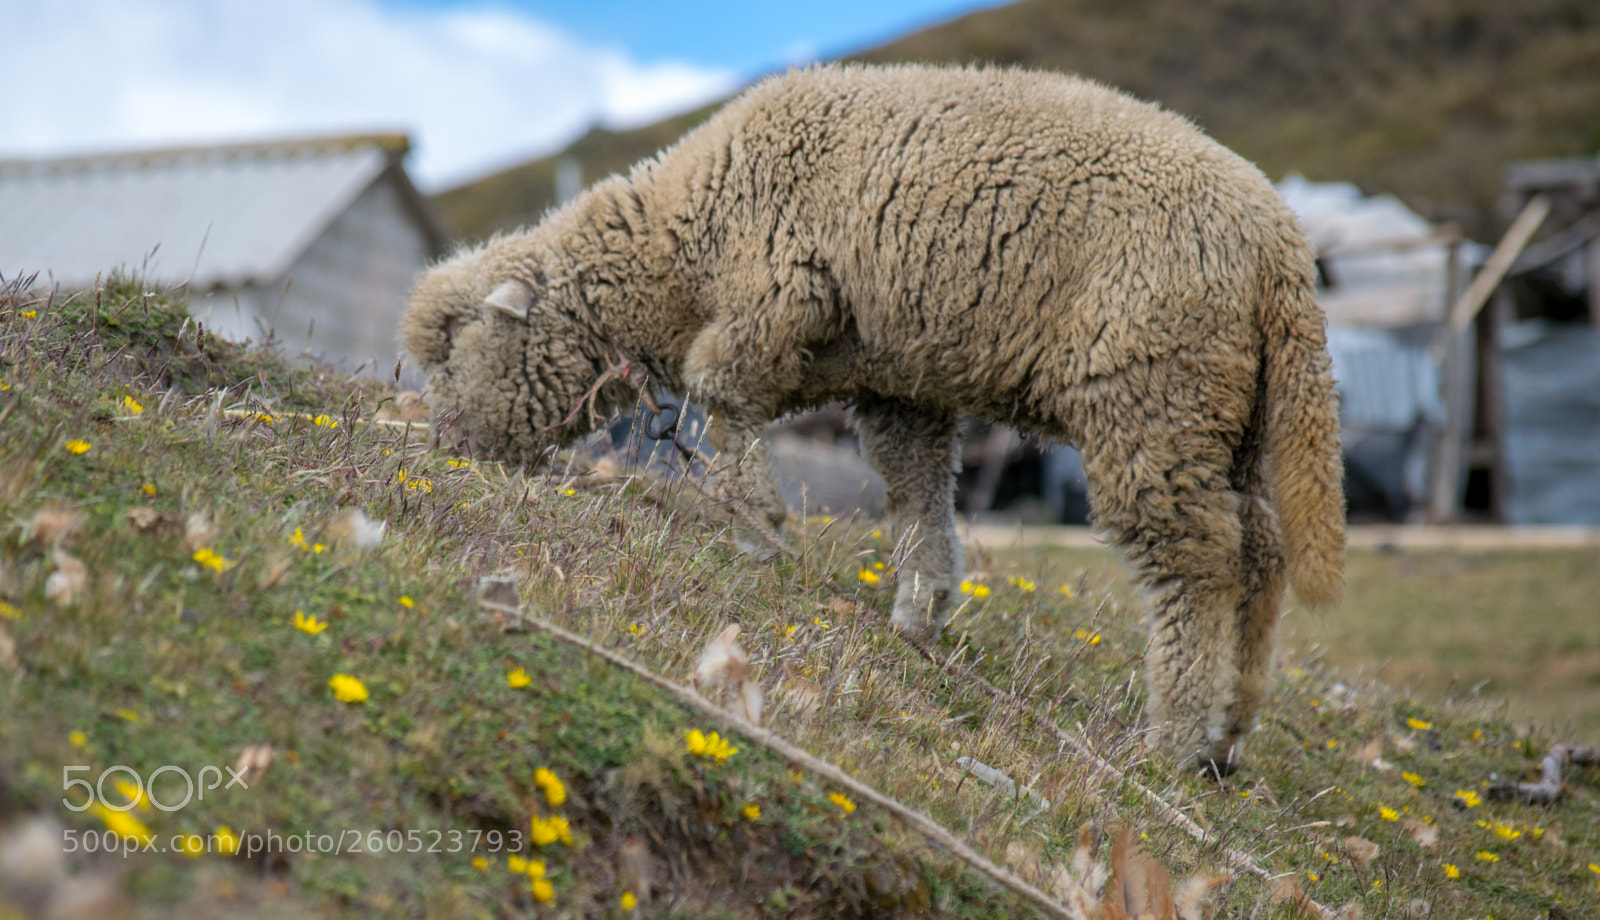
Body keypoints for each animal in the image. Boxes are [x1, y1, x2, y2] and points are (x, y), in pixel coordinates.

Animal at [402, 63, 1345, 770]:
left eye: (452, 351)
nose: (444, 446)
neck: (676, 251)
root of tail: (1280, 248)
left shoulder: (777, 292)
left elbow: (722, 394)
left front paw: (757, 525)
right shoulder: (902, 384)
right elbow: (916, 489)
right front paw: (920, 610)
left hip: (1152, 397)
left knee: (1198, 564)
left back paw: (1174, 737)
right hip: (1229, 415)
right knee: (1260, 553)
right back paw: (1230, 728)